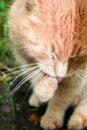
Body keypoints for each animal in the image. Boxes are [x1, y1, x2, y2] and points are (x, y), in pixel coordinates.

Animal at [9, 0, 87, 129]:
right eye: (51, 55)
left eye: (74, 57)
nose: (60, 76)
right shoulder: (23, 53)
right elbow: (35, 74)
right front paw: (44, 88)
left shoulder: (77, 75)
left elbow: (61, 99)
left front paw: (51, 118)